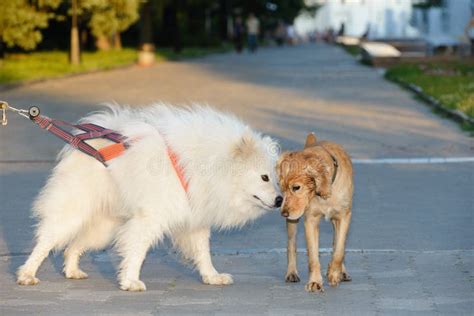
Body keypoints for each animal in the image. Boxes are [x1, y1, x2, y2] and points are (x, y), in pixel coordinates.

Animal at [16, 103, 282, 292]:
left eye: (276, 178)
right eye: (264, 177)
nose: (280, 200)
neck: (204, 165)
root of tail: (85, 145)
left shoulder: (194, 218)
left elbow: (203, 252)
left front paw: (212, 277)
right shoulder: (151, 217)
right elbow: (138, 250)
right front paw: (130, 281)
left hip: (104, 227)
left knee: (74, 246)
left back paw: (72, 271)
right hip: (73, 213)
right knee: (46, 241)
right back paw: (27, 274)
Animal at [278, 132, 352, 292]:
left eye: (296, 187)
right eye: (282, 189)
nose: (283, 213)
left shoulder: (344, 216)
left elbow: (339, 249)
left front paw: (334, 273)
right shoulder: (310, 220)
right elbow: (313, 256)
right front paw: (315, 282)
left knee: (337, 242)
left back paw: (342, 272)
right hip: (293, 222)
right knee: (291, 244)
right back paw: (291, 273)